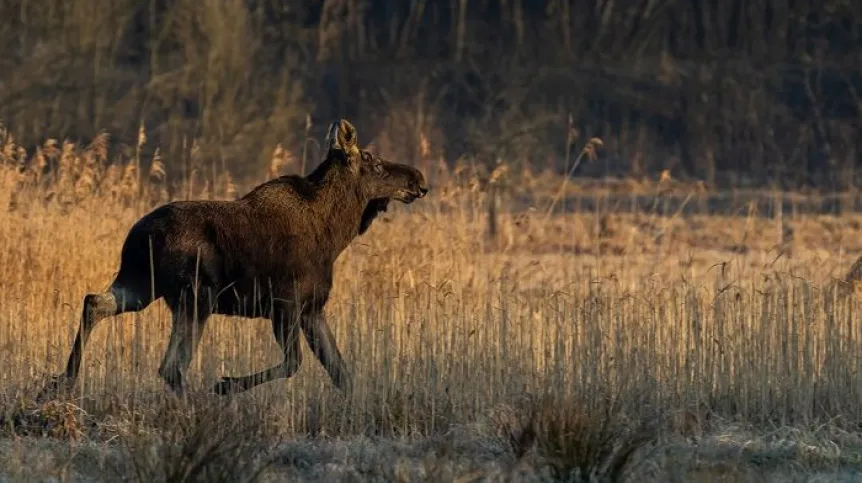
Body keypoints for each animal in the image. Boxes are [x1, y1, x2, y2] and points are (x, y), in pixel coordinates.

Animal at [41, 119, 432, 398]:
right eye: (373, 162)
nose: (419, 179)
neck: (336, 234)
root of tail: (138, 237)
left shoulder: (312, 308)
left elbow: (341, 372)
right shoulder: (285, 304)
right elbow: (294, 363)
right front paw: (225, 384)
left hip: (140, 285)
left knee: (94, 302)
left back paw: (63, 380)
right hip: (195, 296)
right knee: (171, 366)